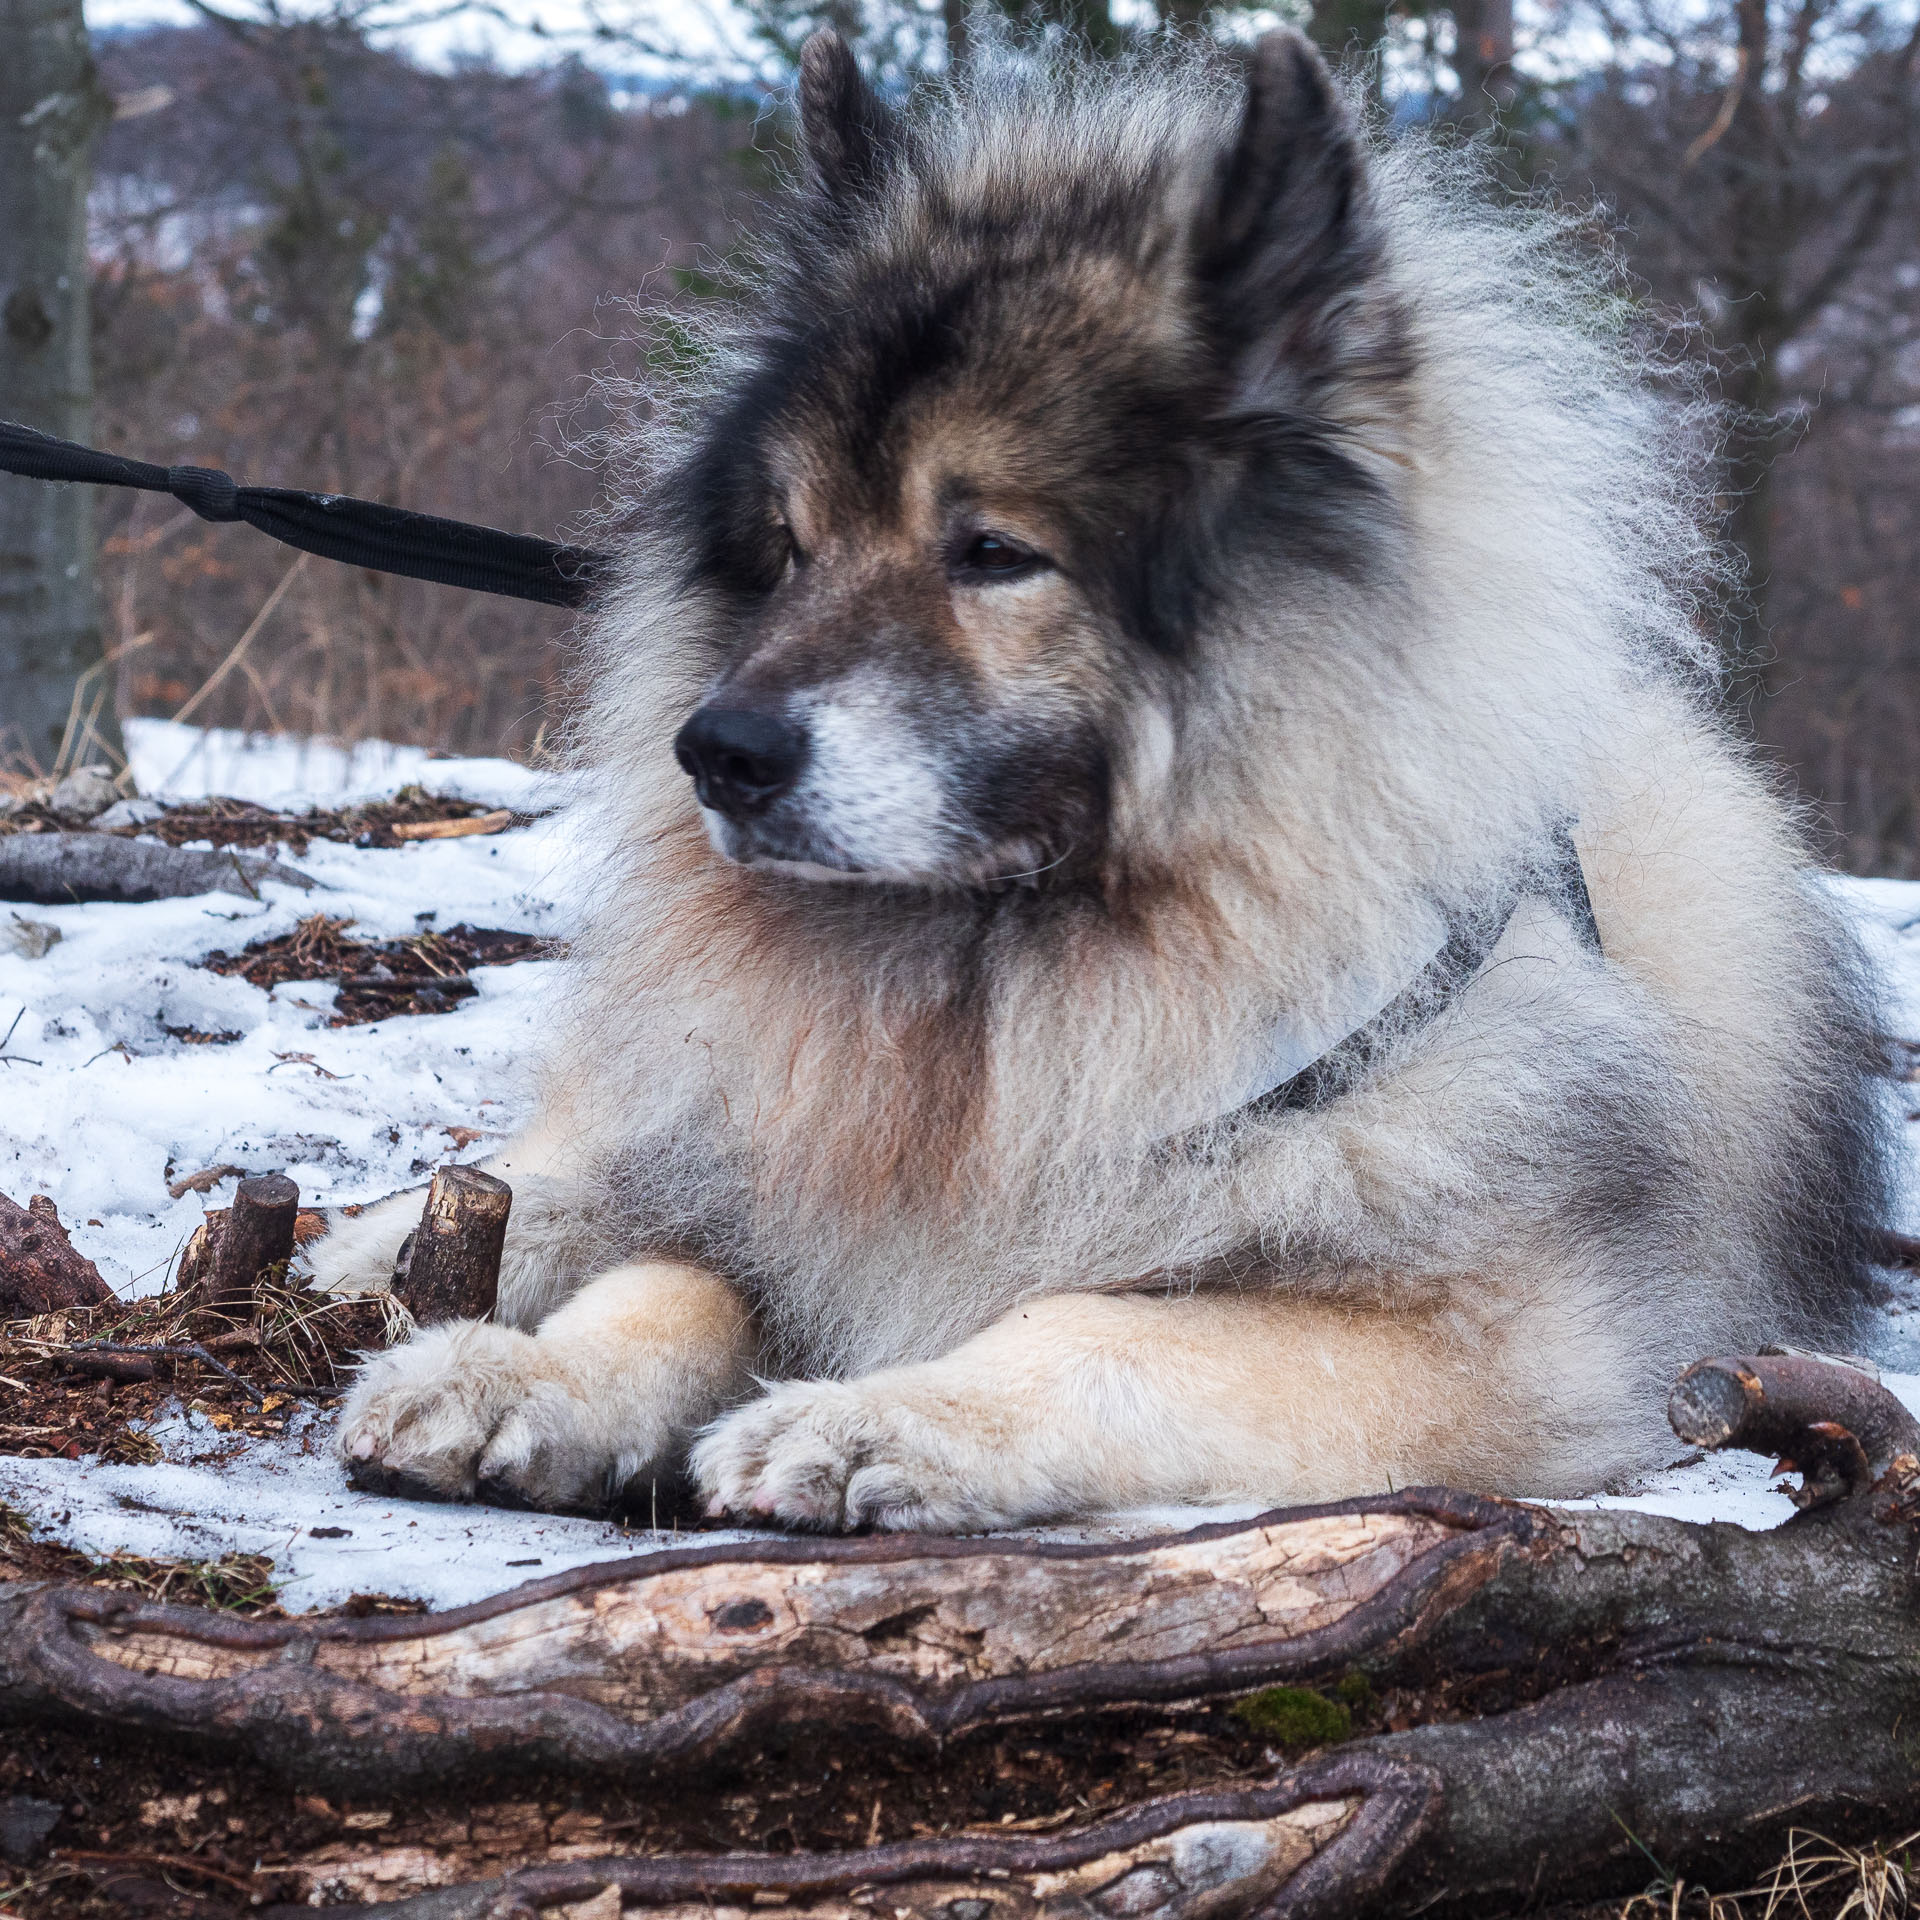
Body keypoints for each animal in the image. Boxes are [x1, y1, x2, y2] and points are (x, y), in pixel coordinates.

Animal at [314, 26, 1889, 1528]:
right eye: (794, 545)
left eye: (994, 552)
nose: (716, 752)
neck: (1033, 981)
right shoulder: (789, 1166)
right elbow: (668, 1279)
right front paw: (519, 1375)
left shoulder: (1508, 1343)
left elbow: (1097, 1326)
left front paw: (885, 1417)